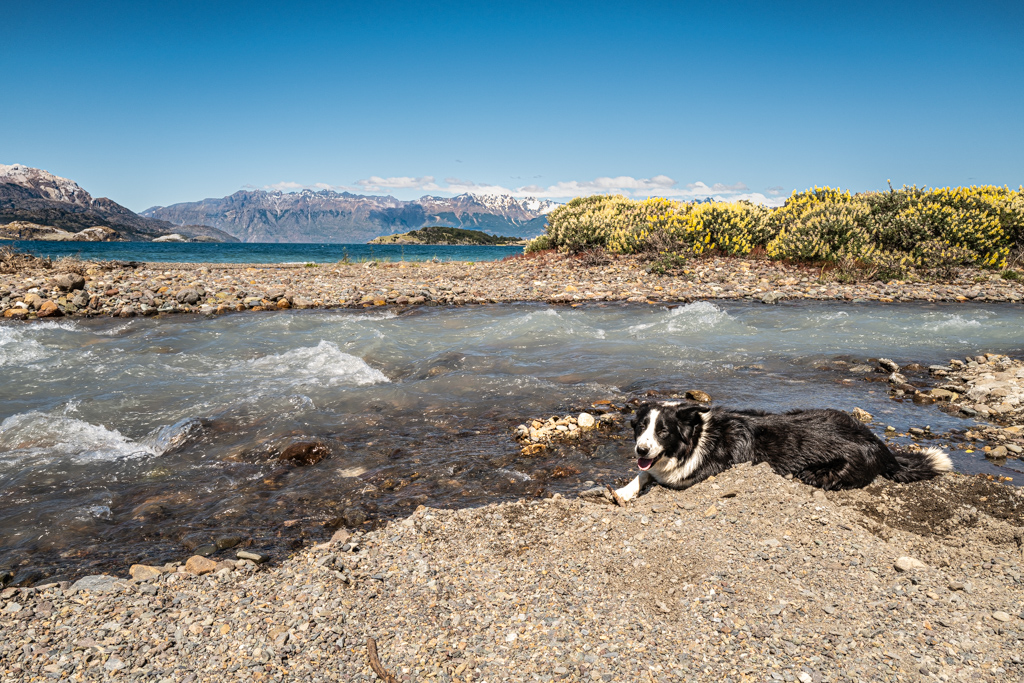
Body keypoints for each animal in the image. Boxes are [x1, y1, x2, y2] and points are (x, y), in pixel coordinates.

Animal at [606, 401, 950, 501]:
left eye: (663, 431)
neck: (695, 436)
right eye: (640, 427)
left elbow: (653, 476)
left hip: (826, 471)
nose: (641, 448)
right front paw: (624, 491)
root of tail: (879, 444)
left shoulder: (689, 476)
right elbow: (643, 475)